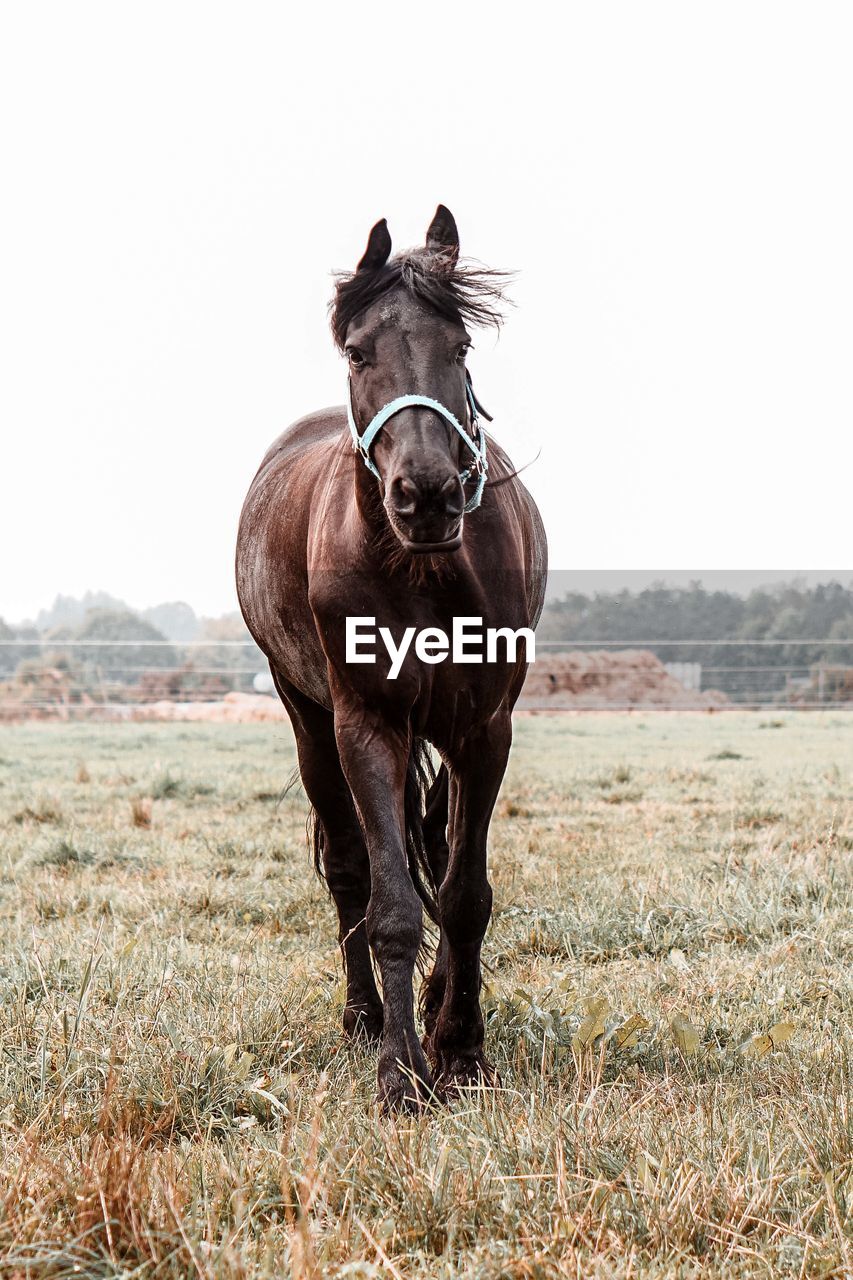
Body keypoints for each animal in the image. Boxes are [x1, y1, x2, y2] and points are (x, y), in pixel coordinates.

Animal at [235, 209, 548, 1111]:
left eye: (461, 346)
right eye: (357, 352)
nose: (428, 494)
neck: (422, 567)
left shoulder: (483, 730)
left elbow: (463, 892)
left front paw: (461, 1048)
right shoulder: (367, 724)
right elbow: (392, 904)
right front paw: (402, 1071)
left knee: (435, 852)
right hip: (309, 721)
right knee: (349, 869)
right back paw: (365, 1018)